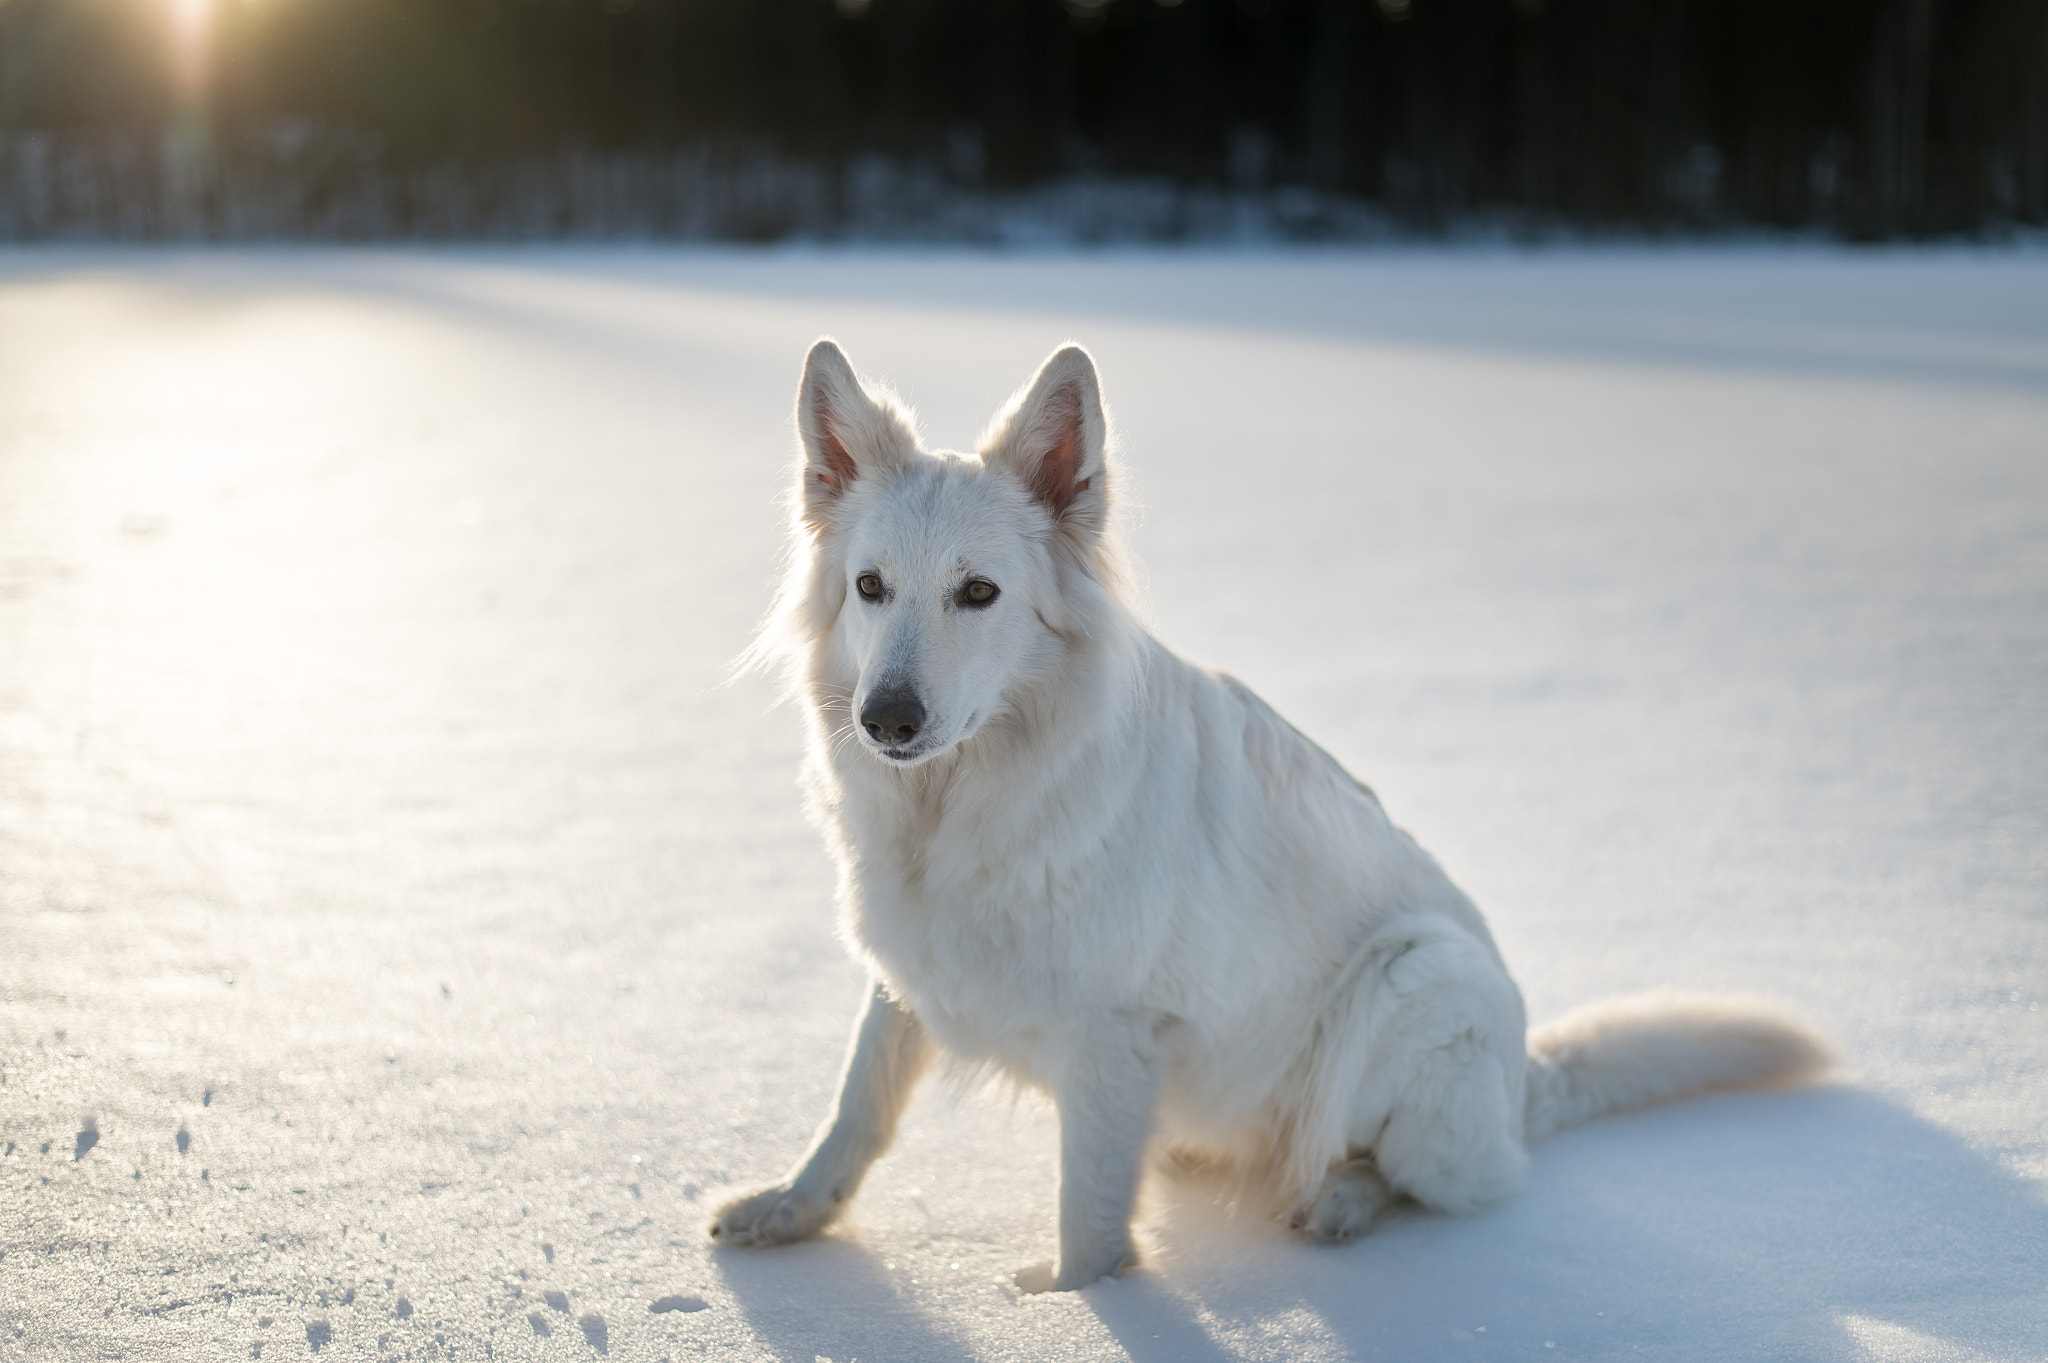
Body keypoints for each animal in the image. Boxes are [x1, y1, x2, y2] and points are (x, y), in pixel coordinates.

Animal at [712, 337, 1835, 1285]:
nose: (886, 718)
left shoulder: (1113, 1034)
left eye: (977, 592)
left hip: (1412, 978)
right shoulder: (905, 976)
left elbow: (1087, 1226)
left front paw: (1080, 1306)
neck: (963, 802)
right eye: (870, 587)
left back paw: (1338, 1200)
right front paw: (793, 1212)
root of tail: (1526, 1080)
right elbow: (856, 1108)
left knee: (1430, 1177)